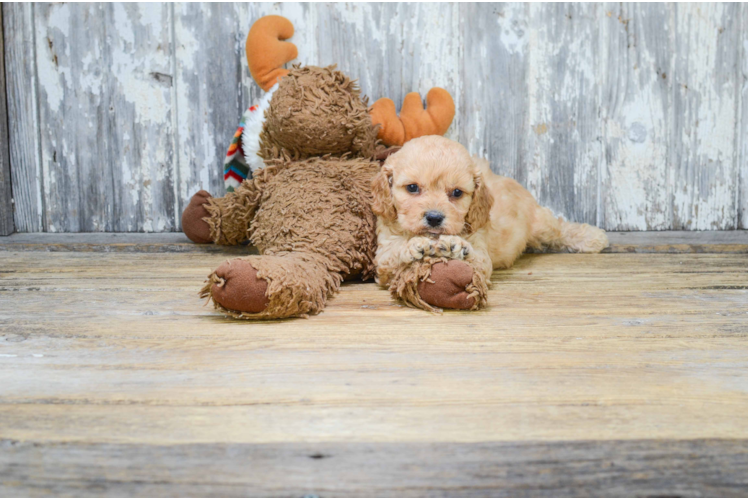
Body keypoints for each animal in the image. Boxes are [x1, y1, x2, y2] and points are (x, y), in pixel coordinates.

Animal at [372, 135, 612, 302]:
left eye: (456, 193)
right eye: (412, 188)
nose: (434, 217)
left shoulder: (481, 253)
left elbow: (476, 258)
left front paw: (456, 247)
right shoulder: (383, 256)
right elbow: (393, 254)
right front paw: (415, 245)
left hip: (540, 224)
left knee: (560, 228)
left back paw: (593, 237)